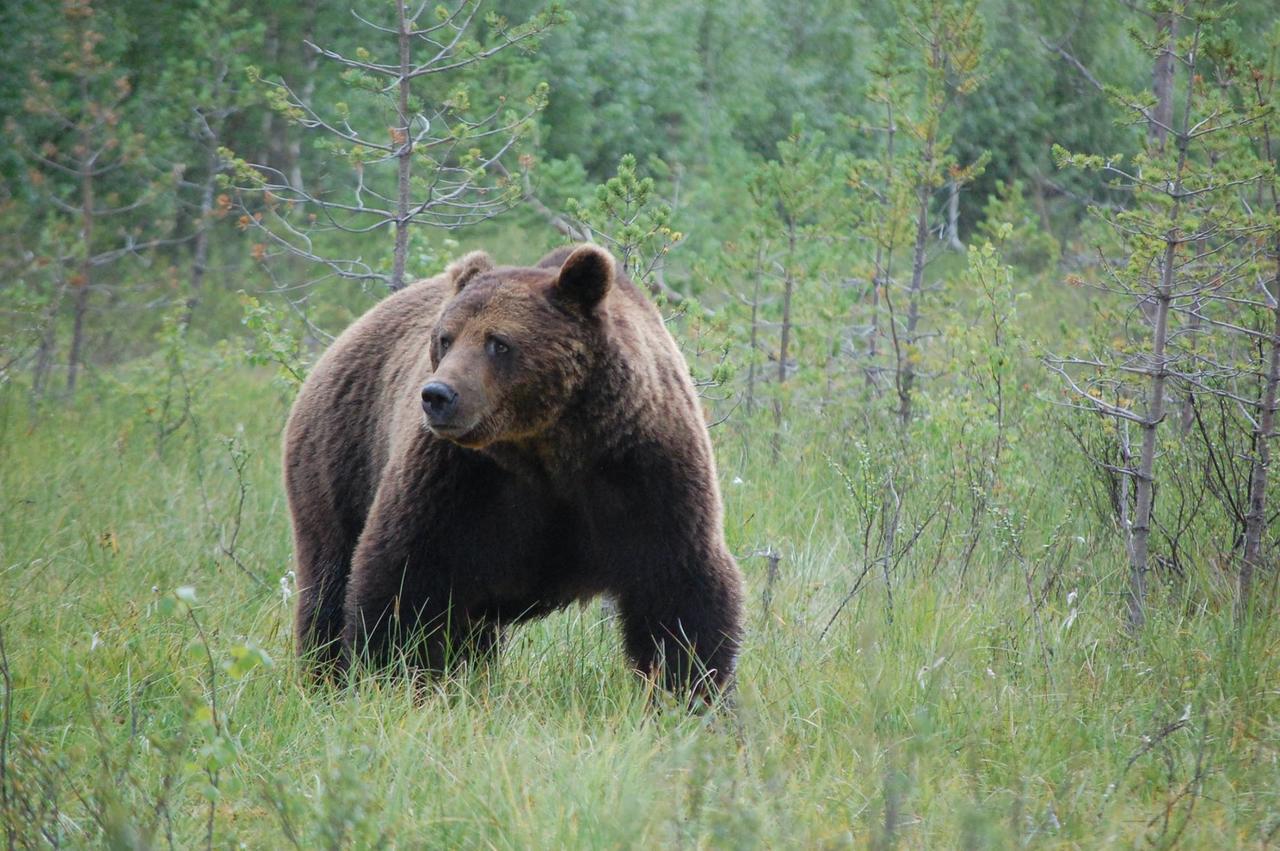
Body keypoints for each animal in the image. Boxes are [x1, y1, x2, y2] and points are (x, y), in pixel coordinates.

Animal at [280, 241, 742, 696]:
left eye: (498, 342)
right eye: (444, 338)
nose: (437, 395)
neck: (547, 445)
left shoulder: (642, 472)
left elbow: (679, 587)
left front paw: (689, 689)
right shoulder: (458, 479)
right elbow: (403, 575)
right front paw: (389, 677)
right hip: (340, 458)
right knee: (329, 577)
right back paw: (322, 676)